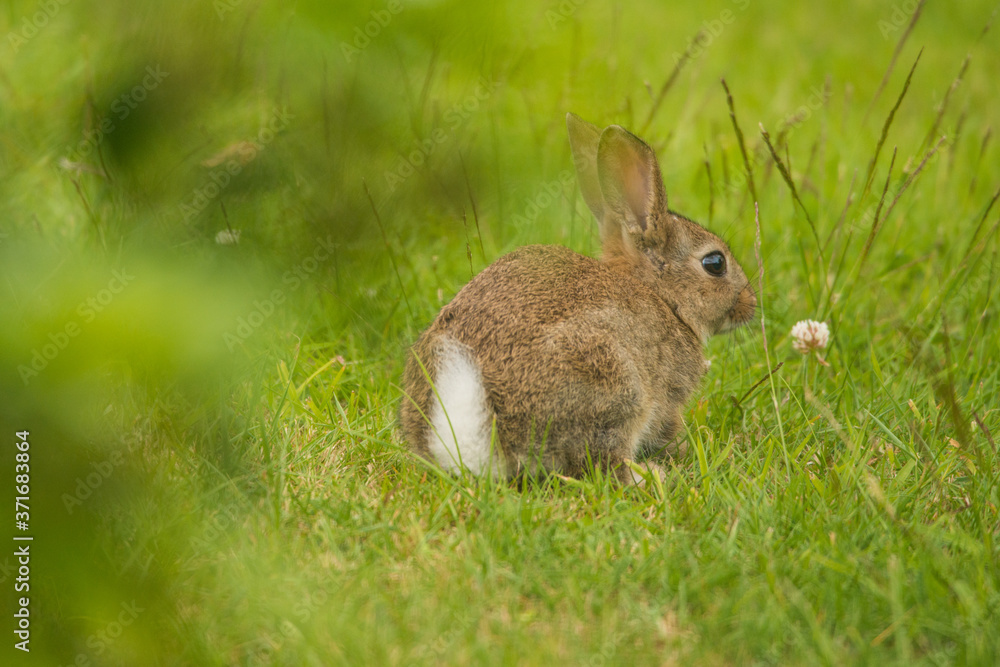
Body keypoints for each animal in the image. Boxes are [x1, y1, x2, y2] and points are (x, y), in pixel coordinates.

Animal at [399, 113, 756, 484]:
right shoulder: (667, 396)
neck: (659, 294)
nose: (750, 305)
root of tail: (480, 445)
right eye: (715, 263)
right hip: (614, 383)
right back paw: (651, 475)